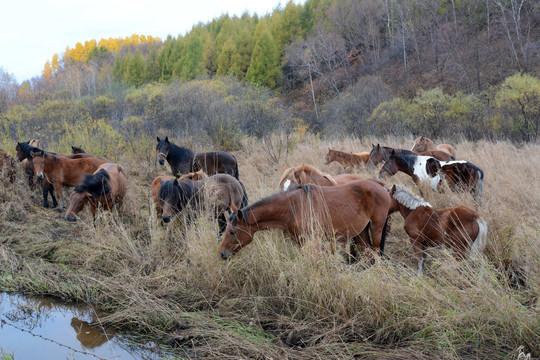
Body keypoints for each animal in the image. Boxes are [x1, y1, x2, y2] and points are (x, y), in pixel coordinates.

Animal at [217, 179, 390, 258]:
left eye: (232, 232)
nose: (222, 253)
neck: (293, 207)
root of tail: (379, 185)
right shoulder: (300, 242)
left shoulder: (314, 241)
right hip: (361, 231)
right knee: (368, 252)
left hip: (376, 229)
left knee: (376, 252)